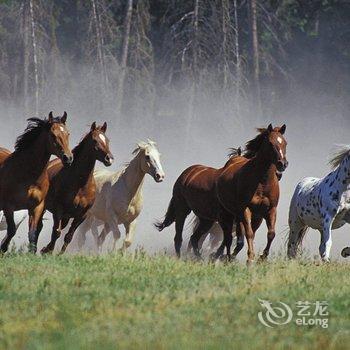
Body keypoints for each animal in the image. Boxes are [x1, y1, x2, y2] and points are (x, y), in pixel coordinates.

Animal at [0, 113, 72, 253]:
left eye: (68, 134)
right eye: (53, 135)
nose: (68, 158)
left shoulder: (36, 207)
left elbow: (32, 233)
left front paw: (32, 252)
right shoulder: (8, 206)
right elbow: (11, 230)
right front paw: (3, 248)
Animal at [39, 121, 113, 253]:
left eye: (107, 140)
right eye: (95, 140)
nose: (109, 159)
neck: (80, 185)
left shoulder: (81, 215)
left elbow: (69, 236)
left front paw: (57, 253)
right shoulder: (58, 210)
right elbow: (56, 232)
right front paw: (48, 251)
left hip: (67, 216)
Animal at [156, 123, 288, 262]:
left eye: (285, 143)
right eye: (270, 143)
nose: (282, 165)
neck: (261, 183)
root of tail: (187, 173)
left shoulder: (266, 212)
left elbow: (270, 234)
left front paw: (261, 257)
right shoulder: (242, 212)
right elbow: (246, 235)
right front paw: (247, 259)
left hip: (206, 219)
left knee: (195, 238)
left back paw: (200, 258)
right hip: (183, 209)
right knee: (179, 238)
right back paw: (181, 258)